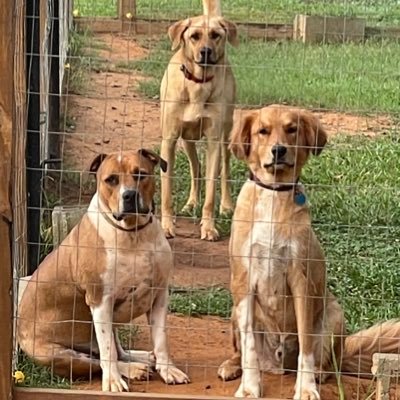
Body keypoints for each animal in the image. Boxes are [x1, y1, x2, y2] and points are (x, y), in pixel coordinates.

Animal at [18, 149, 191, 390]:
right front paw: (114, 382)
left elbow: (160, 339)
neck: (134, 233)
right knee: (98, 360)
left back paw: (140, 358)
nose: (129, 195)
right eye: (111, 180)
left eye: (141, 174)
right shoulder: (100, 300)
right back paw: (132, 369)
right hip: (59, 354)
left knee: (116, 350)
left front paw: (168, 370)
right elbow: (108, 351)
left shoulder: (159, 295)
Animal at [159, 0, 239, 241]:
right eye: (194, 36)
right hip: (187, 140)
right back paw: (191, 202)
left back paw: (227, 205)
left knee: (225, 170)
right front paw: (166, 226)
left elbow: (212, 188)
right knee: (196, 168)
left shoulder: (213, 140)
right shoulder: (169, 140)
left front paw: (209, 227)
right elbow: (166, 191)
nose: (205, 52)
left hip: (225, 135)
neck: (197, 84)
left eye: (215, 35)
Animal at [217, 104, 400, 398]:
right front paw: (249, 387)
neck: (275, 195)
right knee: (241, 350)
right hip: (235, 310)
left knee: (328, 361)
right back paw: (232, 366)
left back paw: (320, 373)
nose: (278, 150)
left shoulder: (300, 281)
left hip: (334, 314)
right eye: (262, 131)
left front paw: (306, 388)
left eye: (292, 129)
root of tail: (278, 365)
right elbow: (249, 347)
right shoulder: (243, 282)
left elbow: (306, 345)